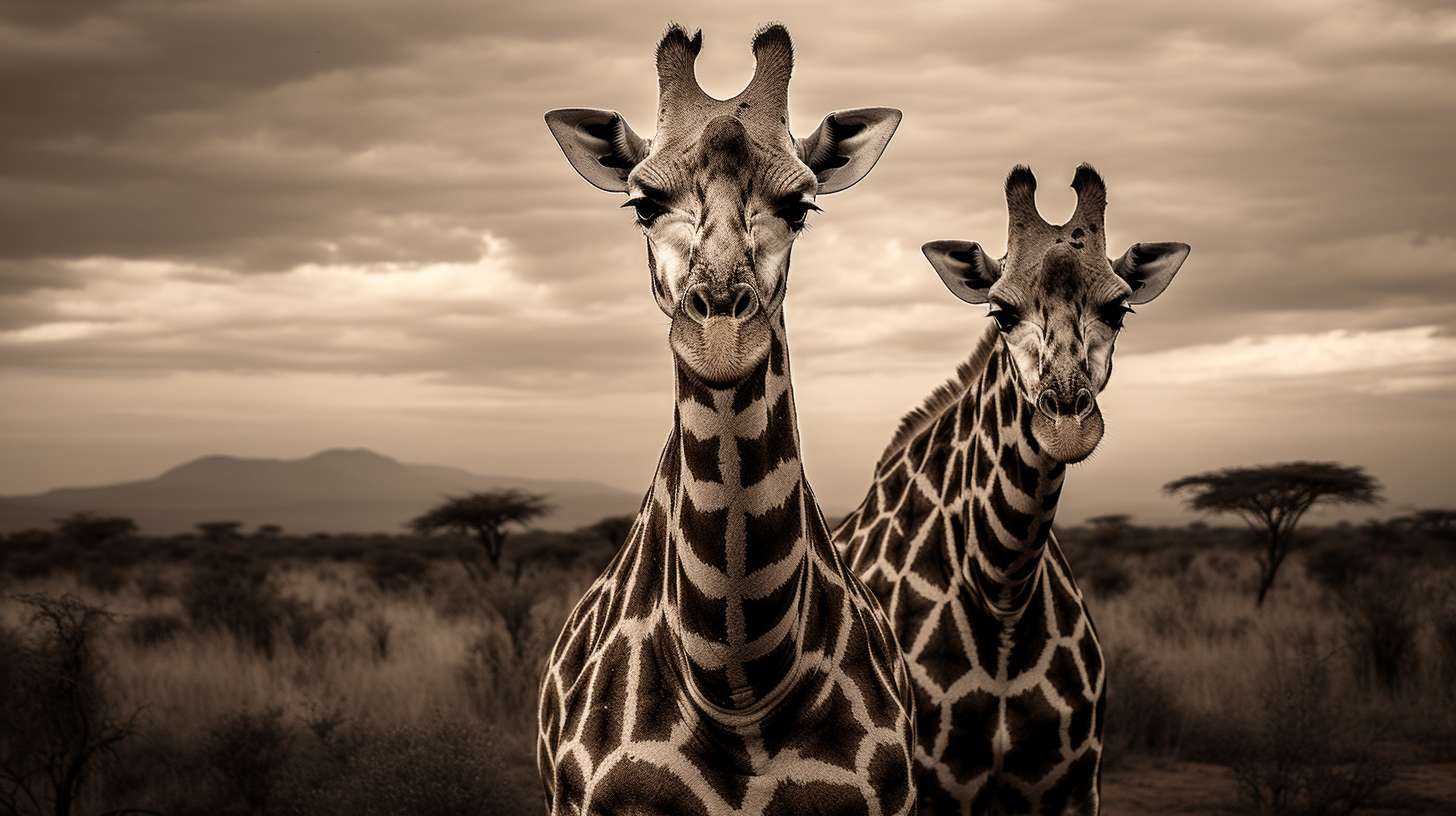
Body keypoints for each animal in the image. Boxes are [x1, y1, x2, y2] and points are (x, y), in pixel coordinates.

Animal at [836, 164, 1190, 815]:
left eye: (1120, 310)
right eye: (999, 312)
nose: (1067, 423)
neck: (1002, 587)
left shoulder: (1072, 786)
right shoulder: (930, 790)